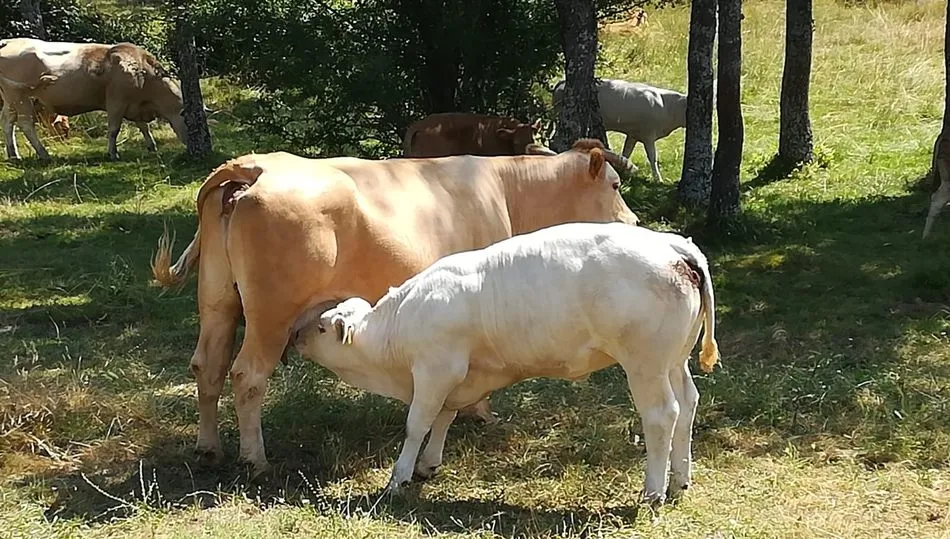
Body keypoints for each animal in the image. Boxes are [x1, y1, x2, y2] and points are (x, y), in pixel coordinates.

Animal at [0, 37, 186, 161]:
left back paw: (13, 155)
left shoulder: (133, 104)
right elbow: (114, 129)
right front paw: (113, 153)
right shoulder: (116, 101)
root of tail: (8, 42)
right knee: (25, 124)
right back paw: (43, 154)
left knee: (7, 121)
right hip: (20, 97)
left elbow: (143, 127)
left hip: (10, 99)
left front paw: (152, 146)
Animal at [150, 140, 640, 475]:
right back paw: (256, 460)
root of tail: (256, 166)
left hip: (217, 302)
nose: (634, 222)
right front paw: (480, 411)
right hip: (270, 316)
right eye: (615, 185)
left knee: (207, 366)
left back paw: (209, 448)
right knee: (247, 375)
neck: (505, 191)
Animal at [293, 221, 720, 506]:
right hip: (674, 362)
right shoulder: (458, 379)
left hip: (645, 364)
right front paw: (428, 465)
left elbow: (418, 424)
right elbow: (445, 416)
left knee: (662, 415)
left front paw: (398, 477)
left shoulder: (435, 370)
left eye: (320, 326)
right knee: (688, 405)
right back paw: (680, 480)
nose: (294, 335)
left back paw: (653, 490)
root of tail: (672, 245)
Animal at [552, 78, 690, 182]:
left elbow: (626, 153)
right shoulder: (648, 135)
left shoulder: (633, 134)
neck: (669, 107)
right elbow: (652, 157)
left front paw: (622, 170)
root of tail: (562, 82)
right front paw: (658, 179)